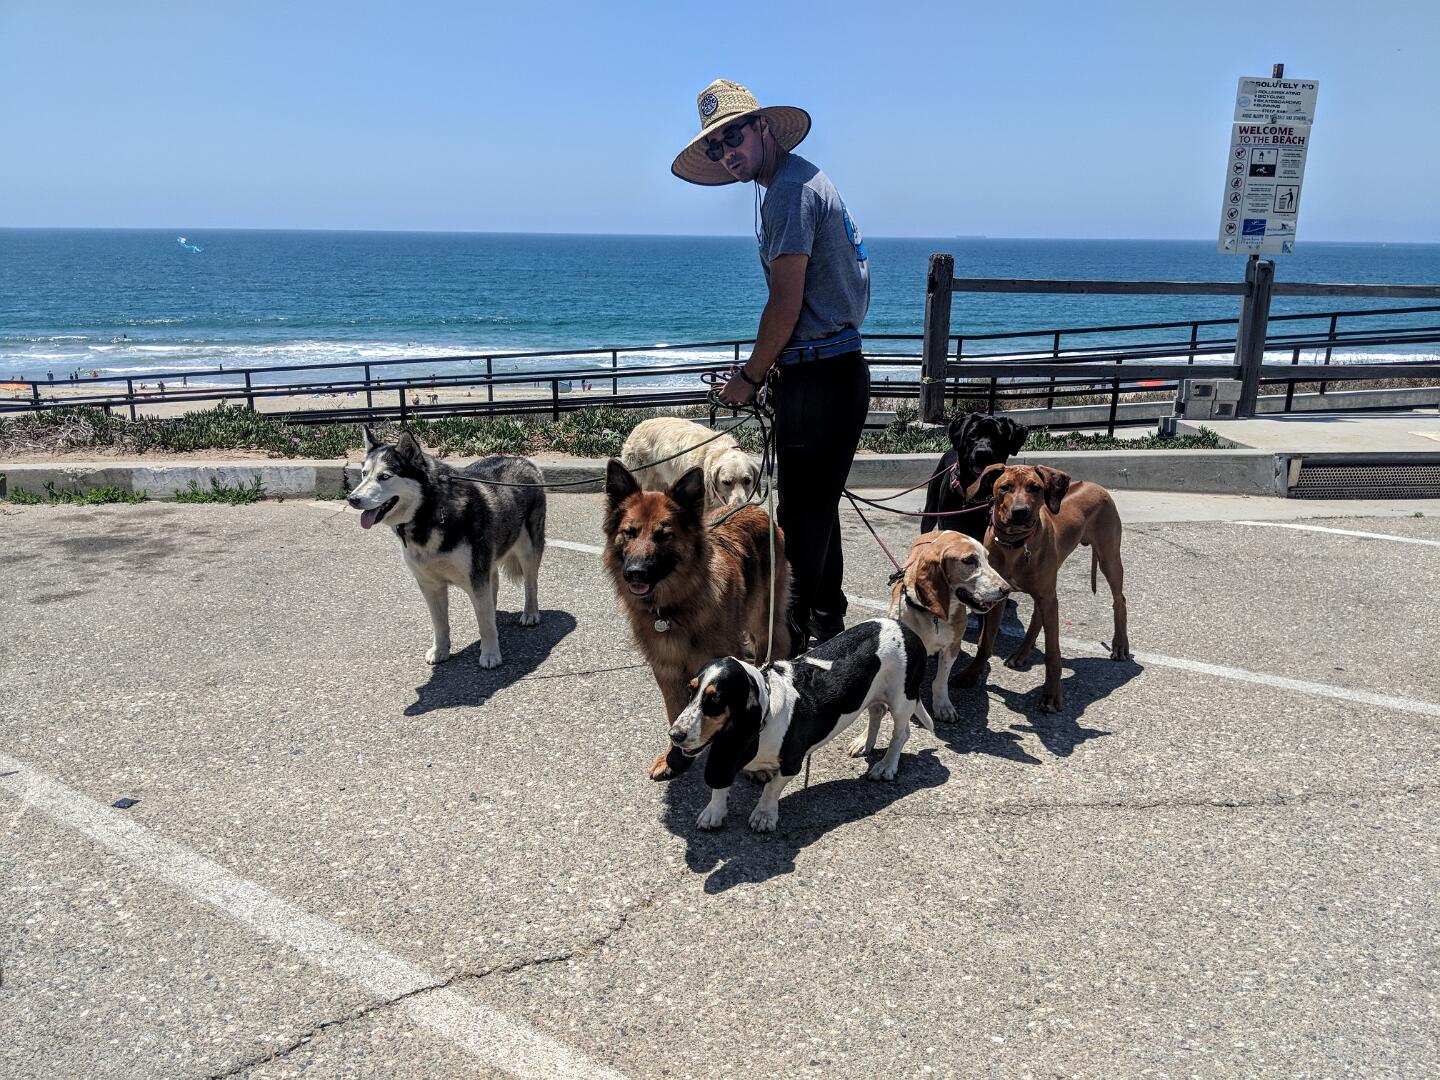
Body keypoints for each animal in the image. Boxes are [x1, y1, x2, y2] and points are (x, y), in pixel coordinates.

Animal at [348, 427, 545, 669]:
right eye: (364, 474)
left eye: (384, 476)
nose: (352, 499)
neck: (427, 514)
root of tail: (524, 460)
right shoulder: (430, 585)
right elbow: (440, 624)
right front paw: (440, 650)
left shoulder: (476, 578)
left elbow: (485, 622)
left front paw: (490, 653)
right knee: (494, 586)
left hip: (528, 550)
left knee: (530, 583)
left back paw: (530, 612)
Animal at [603, 459, 790, 781]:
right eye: (630, 532)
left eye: (663, 534)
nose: (635, 573)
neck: (673, 608)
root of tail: (748, 507)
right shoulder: (667, 671)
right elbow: (675, 713)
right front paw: (674, 758)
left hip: (765, 620)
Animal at [669, 619, 934, 832]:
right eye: (690, 690)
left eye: (715, 699)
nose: (674, 735)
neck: (767, 712)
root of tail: (904, 628)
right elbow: (721, 787)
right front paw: (713, 812)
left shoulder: (791, 763)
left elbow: (772, 788)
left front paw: (764, 815)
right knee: (876, 712)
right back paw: (862, 744)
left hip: (902, 700)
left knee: (901, 734)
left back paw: (886, 766)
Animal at [889, 531, 1012, 723]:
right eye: (969, 560)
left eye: (987, 559)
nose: (1007, 589)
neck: (931, 614)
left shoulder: (952, 647)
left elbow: (940, 680)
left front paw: (943, 706)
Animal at [957, 464, 1131, 712]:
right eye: (1005, 487)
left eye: (1035, 488)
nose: (1020, 512)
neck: (1015, 545)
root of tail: (1095, 485)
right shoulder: (999, 597)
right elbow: (985, 643)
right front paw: (971, 674)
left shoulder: (1048, 598)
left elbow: (1053, 652)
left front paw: (1051, 693)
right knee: (1037, 615)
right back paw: (1021, 652)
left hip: (1108, 557)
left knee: (1119, 600)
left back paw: (1120, 645)